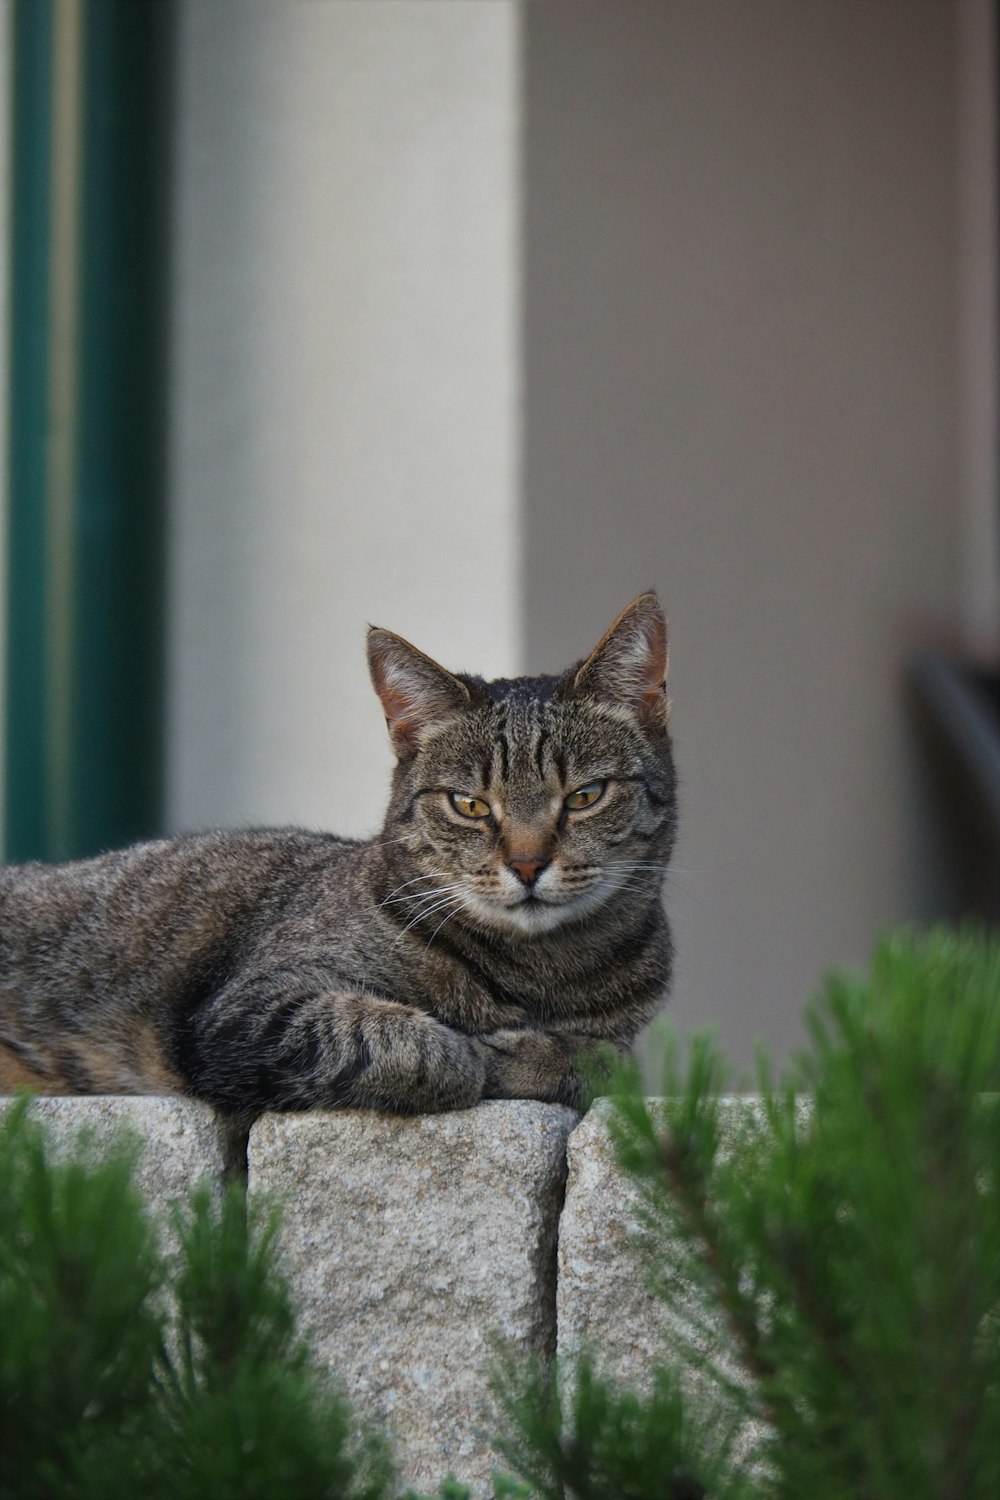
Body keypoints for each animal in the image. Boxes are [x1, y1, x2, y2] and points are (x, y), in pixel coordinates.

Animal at [0, 594, 677, 1116]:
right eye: (470, 805)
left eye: (585, 796)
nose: (529, 864)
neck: (540, 975)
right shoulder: (247, 1008)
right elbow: (422, 1048)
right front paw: (492, 1051)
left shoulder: (623, 1038)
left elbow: (605, 1060)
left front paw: (538, 1051)